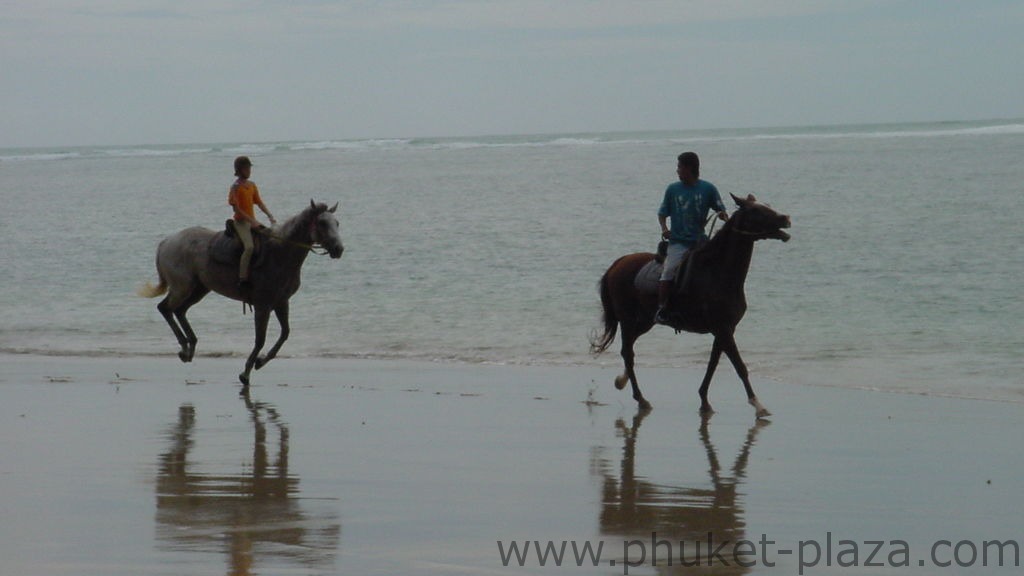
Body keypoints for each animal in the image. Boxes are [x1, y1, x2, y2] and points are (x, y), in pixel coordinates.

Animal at [140, 199, 344, 383]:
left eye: (337, 223)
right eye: (322, 223)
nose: (339, 249)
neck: (280, 253)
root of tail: (167, 241)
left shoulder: (281, 302)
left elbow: (285, 333)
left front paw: (261, 361)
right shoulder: (263, 306)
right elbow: (260, 339)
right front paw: (246, 372)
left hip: (199, 289)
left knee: (179, 311)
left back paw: (190, 346)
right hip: (182, 288)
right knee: (165, 308)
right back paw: (184, 347)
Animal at [593, 193, 790, 416]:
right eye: (756, 211)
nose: (785, 218)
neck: (718, 271)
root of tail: (617, 264)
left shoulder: (724, 330)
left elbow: (713, 364)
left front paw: (704, 400)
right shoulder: (723, 329)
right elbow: (739, 366)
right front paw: (758, 405)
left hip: (644, 322)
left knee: (629, 350)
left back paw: (622, 380)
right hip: (628, 320)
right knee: (628, 353)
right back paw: (641, 398)